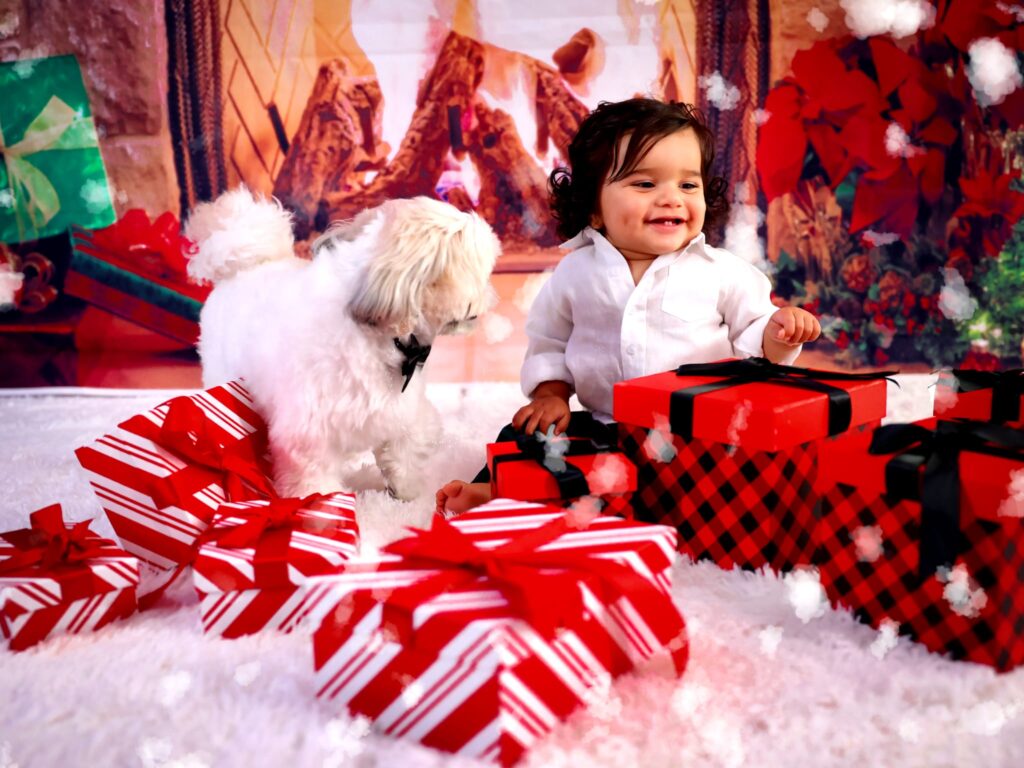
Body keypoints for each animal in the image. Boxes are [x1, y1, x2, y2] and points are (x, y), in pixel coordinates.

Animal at [188, 187, 503, 499]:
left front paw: (407, 495)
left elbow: (405, 455)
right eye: (483, 272)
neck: (379, 336)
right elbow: (314, 482)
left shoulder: (404, 413)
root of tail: (245, 265)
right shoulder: (309, 435)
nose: (491, 294)